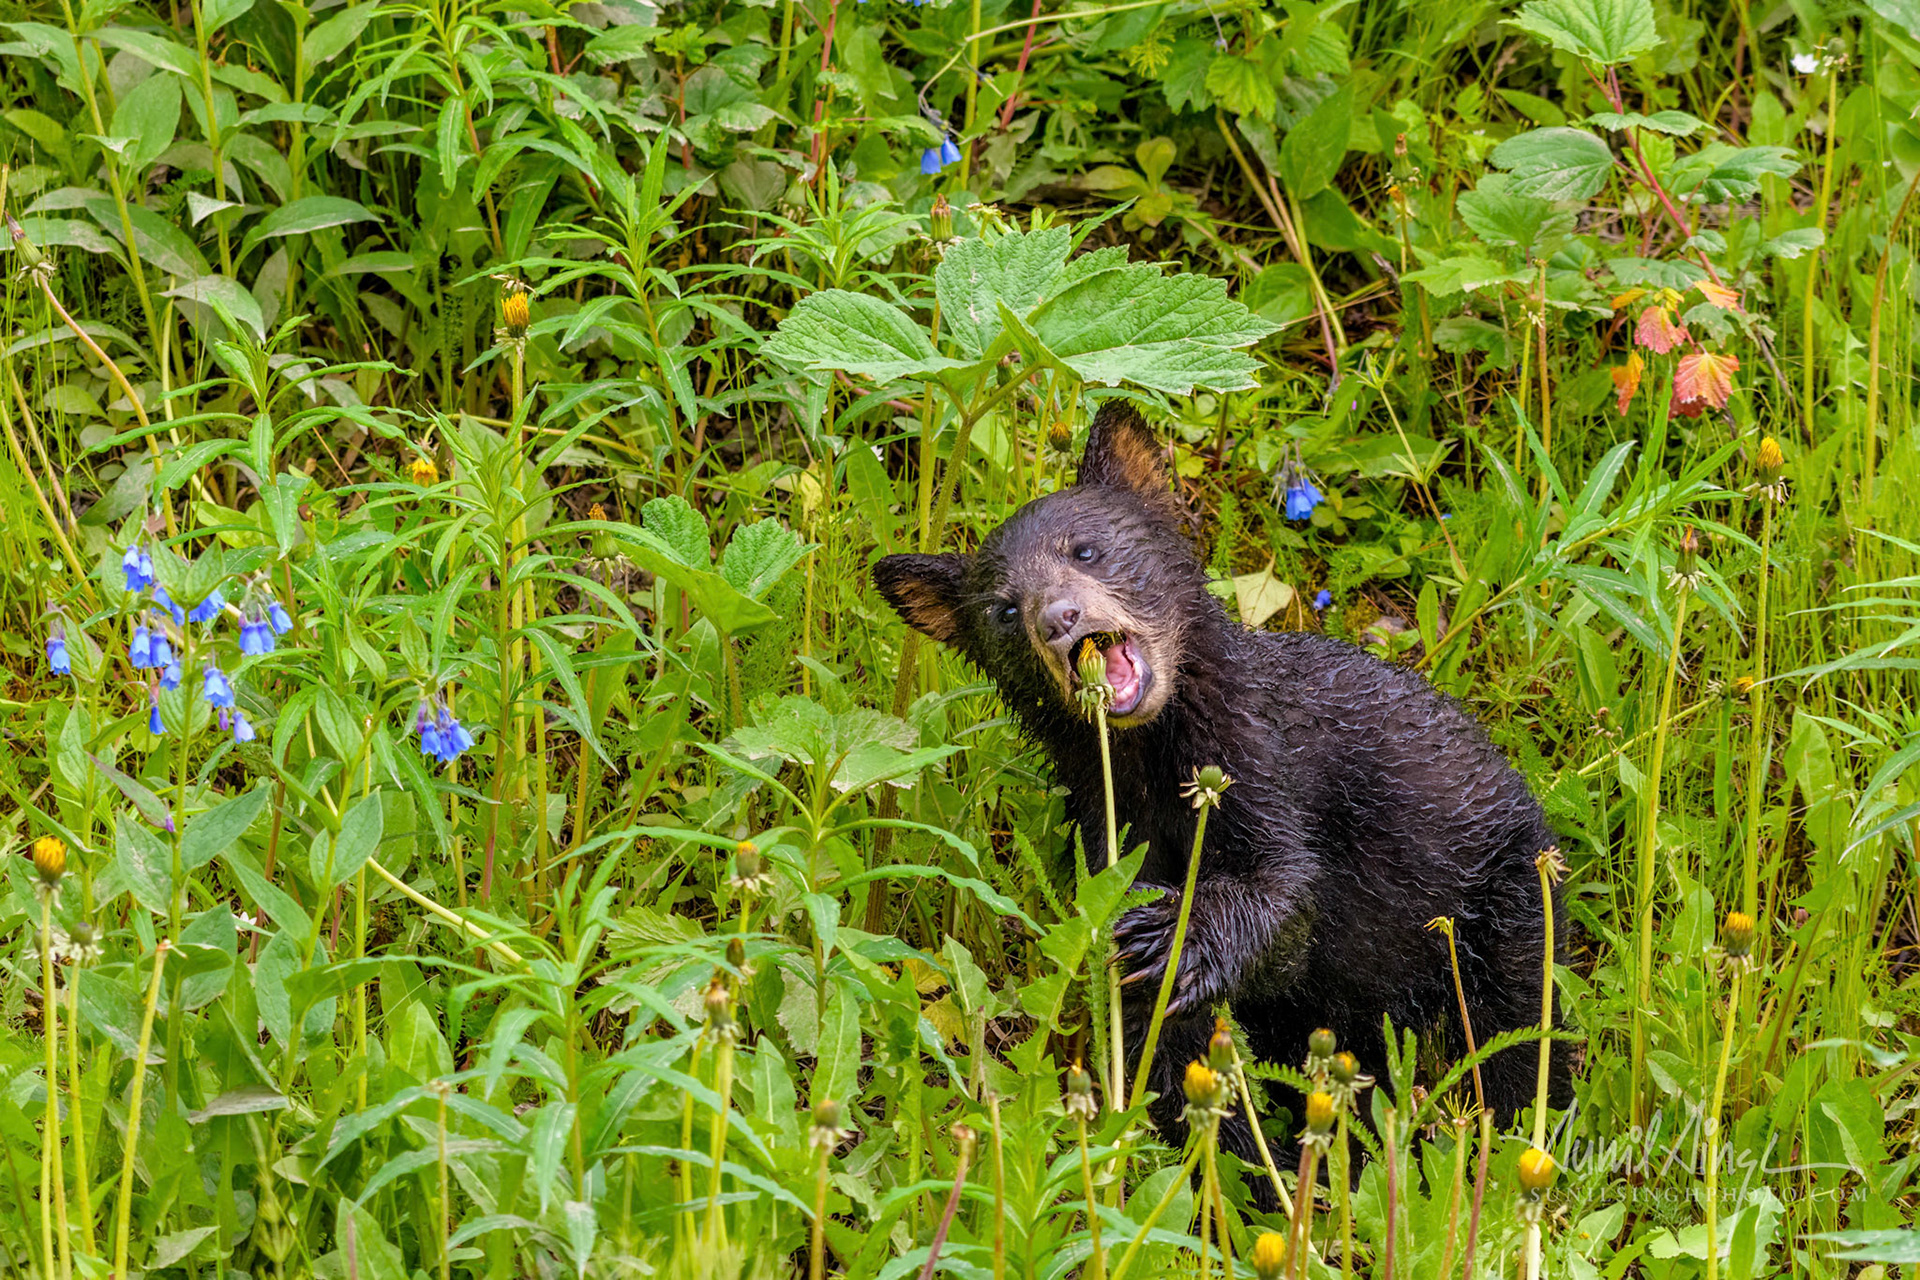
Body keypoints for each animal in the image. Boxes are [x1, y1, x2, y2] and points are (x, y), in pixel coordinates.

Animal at [873, 400, 1566, 1179]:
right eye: (1000, 609)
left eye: (1086, 550)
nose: (1057, 619)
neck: (1151, 759)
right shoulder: (1108, 821)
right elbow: (1165, 1042)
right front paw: (1242, 1167)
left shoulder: (1264, 767)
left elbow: (1288, 896)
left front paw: (1169, 935)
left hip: (1505, 899)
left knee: (1518, 1024)